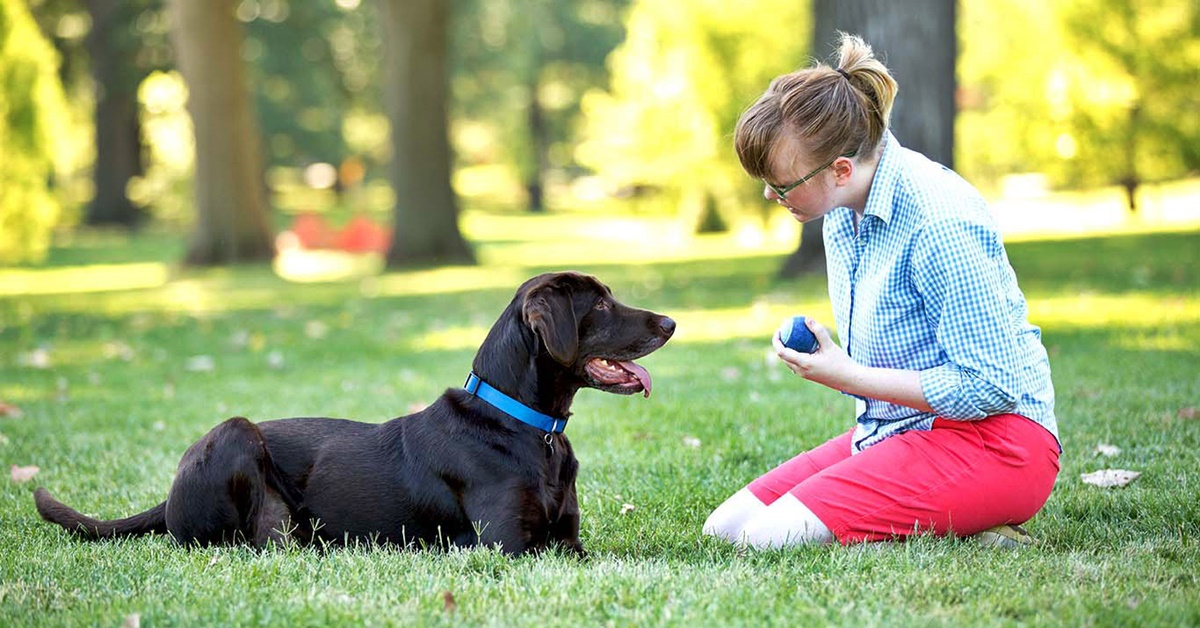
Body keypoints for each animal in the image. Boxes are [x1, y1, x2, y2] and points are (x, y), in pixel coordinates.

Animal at [35, 272, 676, 557]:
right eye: (600, 305)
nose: (671, 322)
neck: (525, 425)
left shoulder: (566, 539)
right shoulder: (508, 547)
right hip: (237, 438)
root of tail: (167, 495)